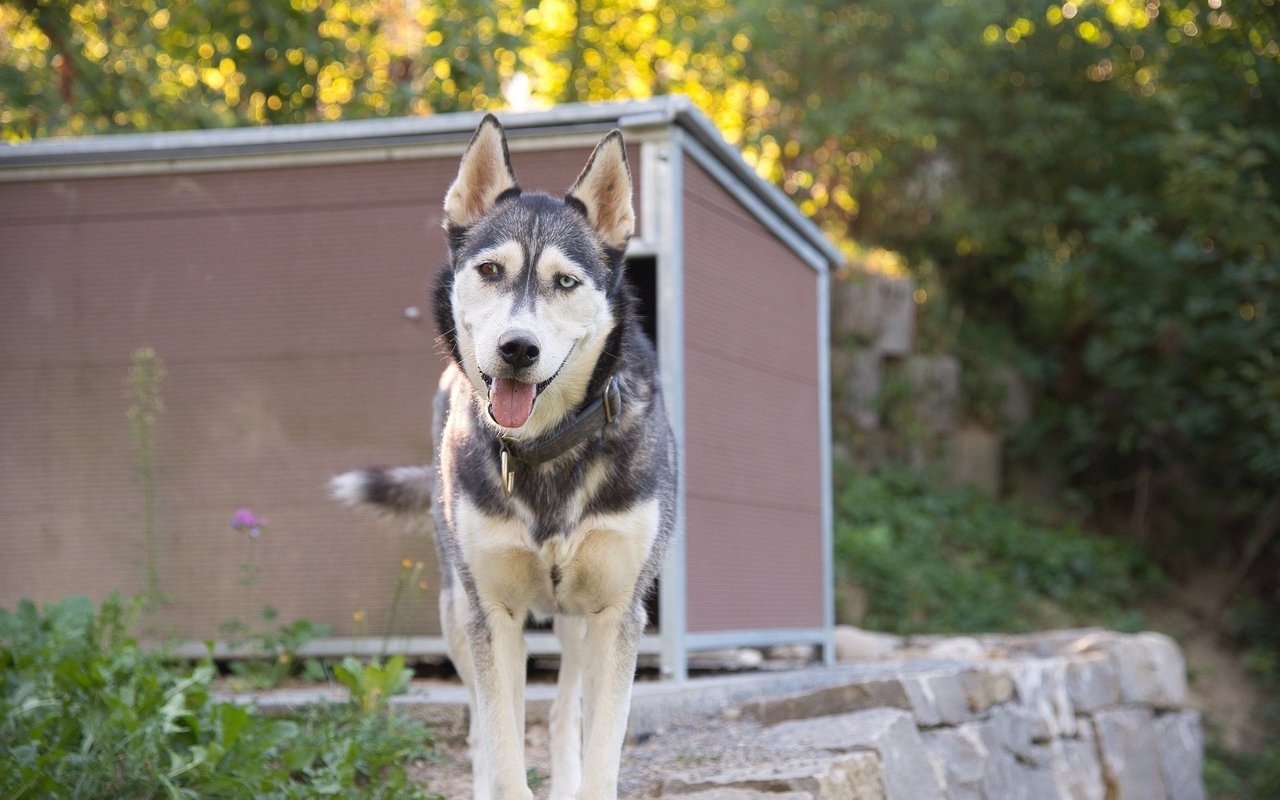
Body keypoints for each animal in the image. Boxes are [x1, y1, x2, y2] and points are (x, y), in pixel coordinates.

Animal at [335, 113, 680, 798]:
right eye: (491, 270)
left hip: (574, 622)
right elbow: (501, 747)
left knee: (563, 710)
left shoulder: (617, 613)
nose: (517, 348)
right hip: (457, 610)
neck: (547, 448)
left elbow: (598, 750)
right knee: (485, 726)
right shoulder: (490, 614)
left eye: (566, 282)